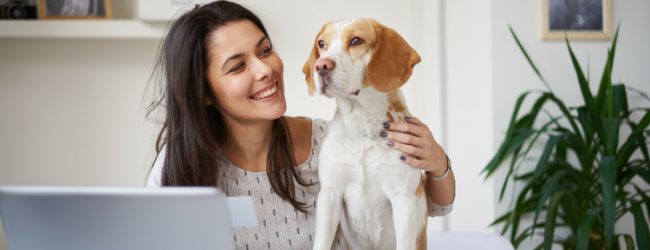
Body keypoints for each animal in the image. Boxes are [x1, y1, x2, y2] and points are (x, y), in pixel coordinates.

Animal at [302, 18, 426, 249]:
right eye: (322, 44)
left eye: (356, 41)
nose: (321, 65)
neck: (363, 131)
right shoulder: (329, 195)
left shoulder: (403, 198)